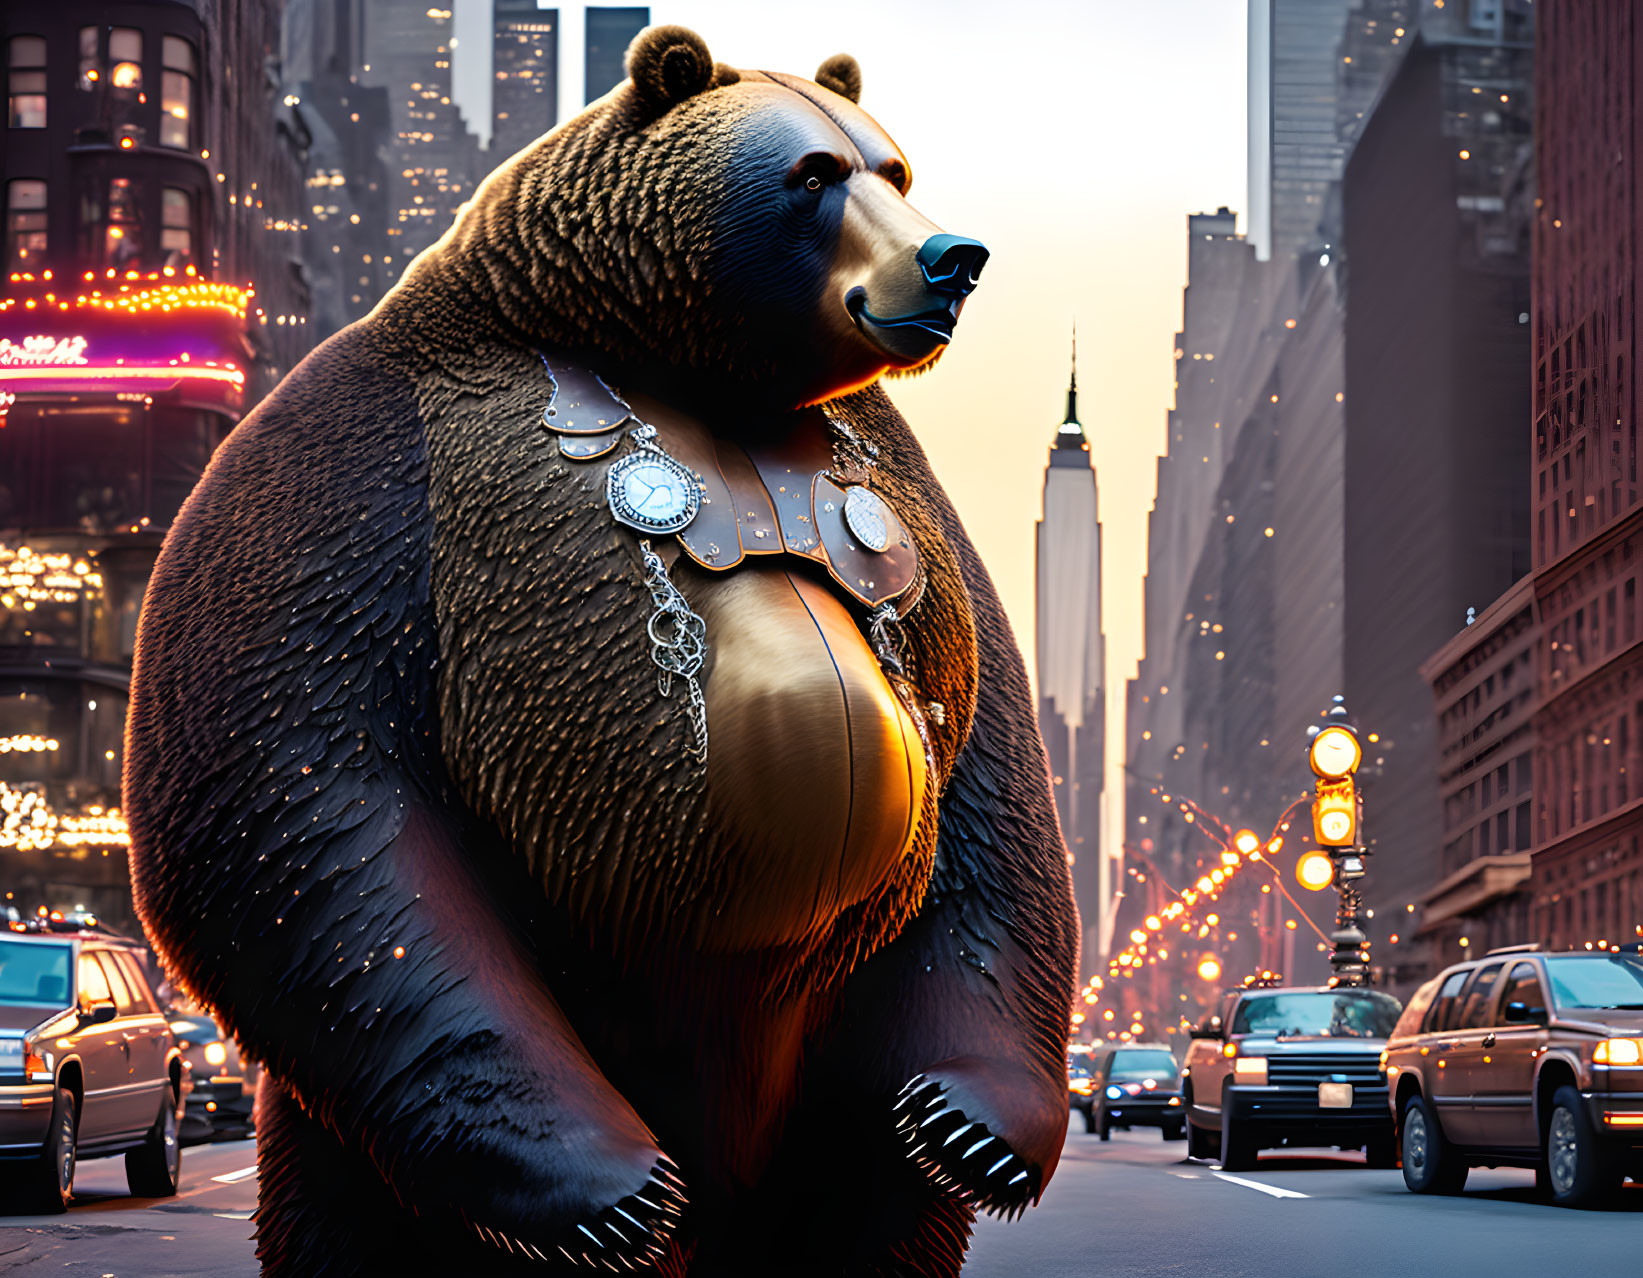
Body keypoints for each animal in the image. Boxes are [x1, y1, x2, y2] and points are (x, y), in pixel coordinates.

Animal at [124, 24, 1077, 1268]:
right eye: (814, 174)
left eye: (895, 167)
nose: (950, 257)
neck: (688, 367)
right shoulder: (370, 463)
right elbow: (304, 774)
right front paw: (608, 1187)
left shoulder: (912, 507)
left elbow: (987, 794)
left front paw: (970, 1127)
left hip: (829, 1080)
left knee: (873, 1207)